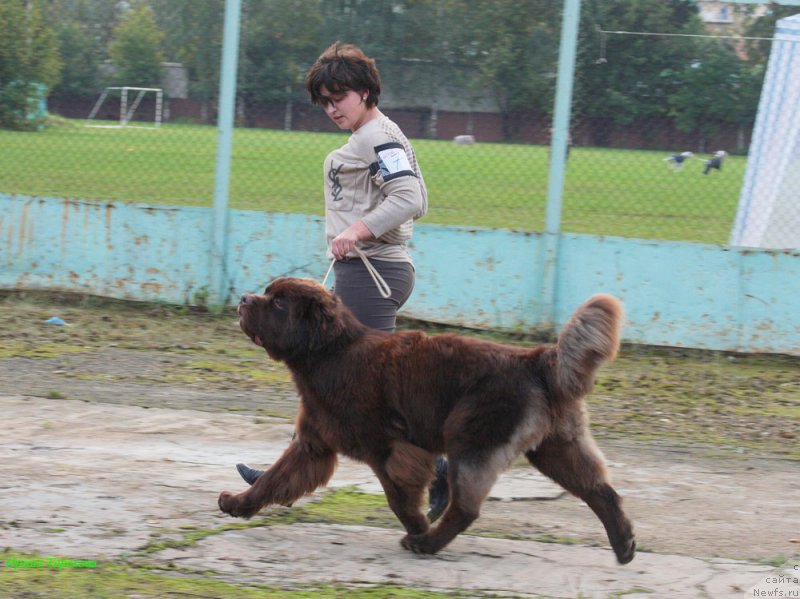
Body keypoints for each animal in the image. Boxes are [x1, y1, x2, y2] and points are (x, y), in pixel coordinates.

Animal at [216, 276, 636, 564]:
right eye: (267, 293)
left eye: (279, 304)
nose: (244, 298)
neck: (327, 355)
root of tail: (537, 359)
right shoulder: (312, 444)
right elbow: (274, 478)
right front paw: (238, 503)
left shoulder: (390, 448)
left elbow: (398, 499)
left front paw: (417, 526)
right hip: (556, 447)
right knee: (600, 490)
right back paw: (624, 545)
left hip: (470, 438)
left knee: (466, 508)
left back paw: (426, 543)